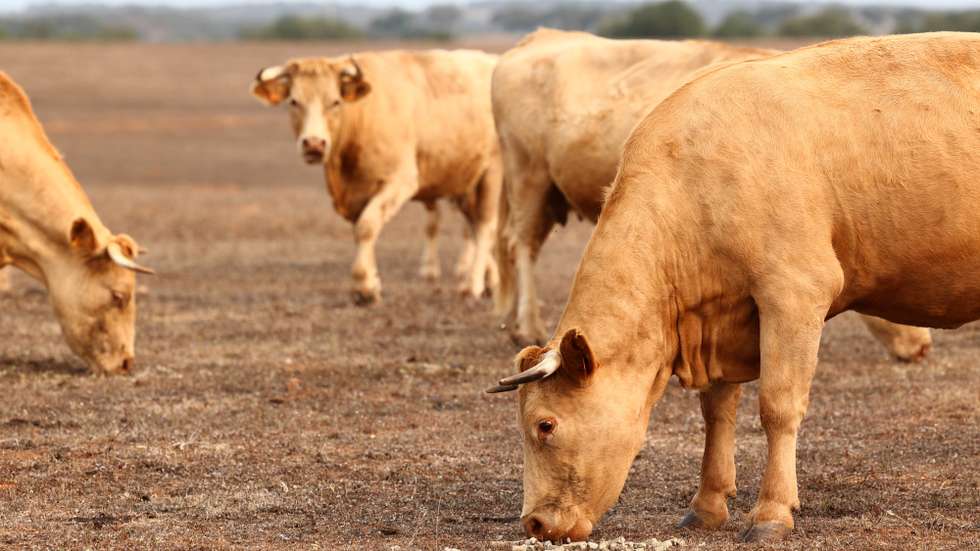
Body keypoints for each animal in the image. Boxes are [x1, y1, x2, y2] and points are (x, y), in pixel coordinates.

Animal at [251, 51, 502, 304]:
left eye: (335, 102)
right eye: (294, 102)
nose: (314, 144)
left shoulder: (400, 181)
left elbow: (367, 226)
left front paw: (364, 287)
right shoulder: (357, 194)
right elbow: (361, 231)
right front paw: (373, 283)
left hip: (492, 174)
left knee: (485, 227)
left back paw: (472, 285)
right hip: (465, 184)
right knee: (475, 226)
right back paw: (492, 281)